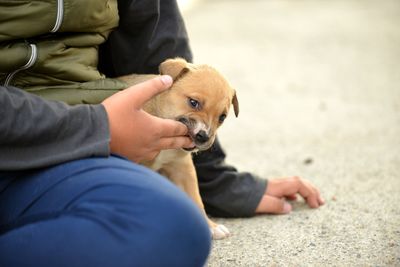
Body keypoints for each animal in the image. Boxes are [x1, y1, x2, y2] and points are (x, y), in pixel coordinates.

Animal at [118, 57, 238, 240]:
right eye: (193, 103)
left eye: (222, 117)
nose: (204, 136)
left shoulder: (182, 168)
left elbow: (196, 199)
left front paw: (210, 227)